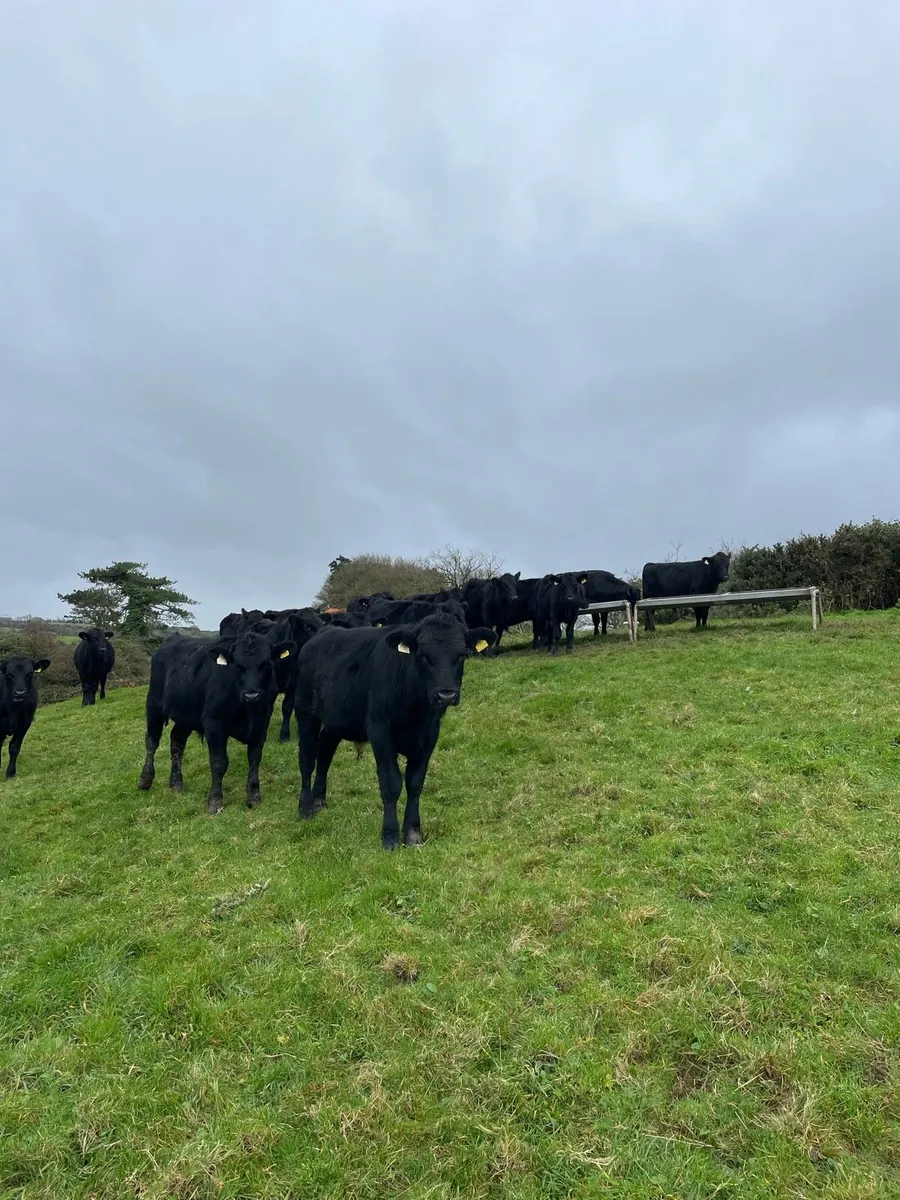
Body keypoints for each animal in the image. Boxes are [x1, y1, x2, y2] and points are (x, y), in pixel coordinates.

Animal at [137, 630, 296, 813]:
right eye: (237, 666)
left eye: (267, 665)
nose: (251, 695)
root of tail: (173, 638)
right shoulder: (213, 723)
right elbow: (219, 762)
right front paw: (215, 801)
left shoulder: (262, 722)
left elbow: (255, 758)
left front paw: (254, 796)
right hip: (154, 704)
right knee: (152, 740)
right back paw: (145, 779)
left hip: (186, 715)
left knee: (177, 741)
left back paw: (176, 783)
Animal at [294, 612, 497, 849]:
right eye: (423, 655)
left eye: (462, 654)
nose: (446, 694)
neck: (416, 709)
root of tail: (323, 632)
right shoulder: (380, 730)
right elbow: (391, 782)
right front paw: (390, 836)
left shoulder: (430, 735)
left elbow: (415, 783)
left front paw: (413, 834)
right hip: (305, 711)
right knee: (307, 758)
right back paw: (306, 807)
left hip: (336, 719)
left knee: (325, 750)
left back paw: (319, 800)